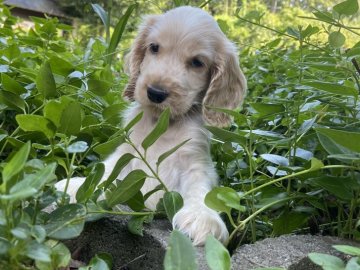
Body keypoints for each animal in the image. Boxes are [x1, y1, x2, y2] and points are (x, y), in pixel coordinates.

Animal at [57, 5, 248, 246]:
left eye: (197, 62)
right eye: (154, 48)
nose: (156, 92)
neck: (162, 123)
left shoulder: (196, 162)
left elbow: (200, 188)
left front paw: (202, 216)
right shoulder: (126, 155)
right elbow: (108, 170)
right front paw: (78, 186)